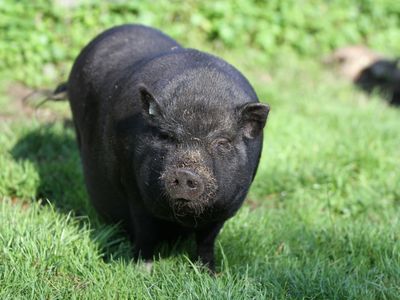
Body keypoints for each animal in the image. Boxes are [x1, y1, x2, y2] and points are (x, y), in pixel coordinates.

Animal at [65, 24, 268, 270]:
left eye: (222, 142)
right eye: (166, 136)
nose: (185, 173)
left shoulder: (226, 208)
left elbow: (207, 240)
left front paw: (209, 272)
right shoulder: (135, 191)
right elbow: (145, 233)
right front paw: (142, 269)